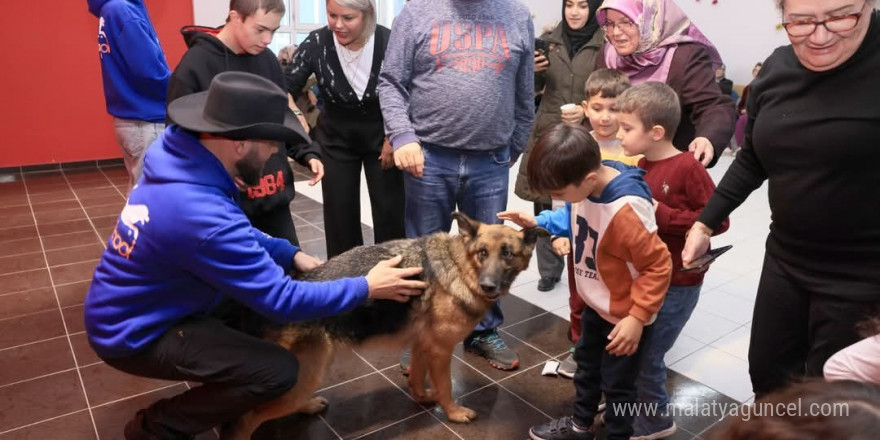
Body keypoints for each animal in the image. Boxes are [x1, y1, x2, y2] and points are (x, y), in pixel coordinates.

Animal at [222, 212, 544, 436]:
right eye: (482, 253)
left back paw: (310, 406)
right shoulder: (441, 351)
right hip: (307, 373)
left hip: (310, 373)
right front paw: (453, 413)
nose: (488, 286)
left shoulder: (423, 346)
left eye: (507, 254)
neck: (459, 266)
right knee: (244, 420)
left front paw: (422, 398)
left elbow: (417, 377)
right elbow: (444, 387)